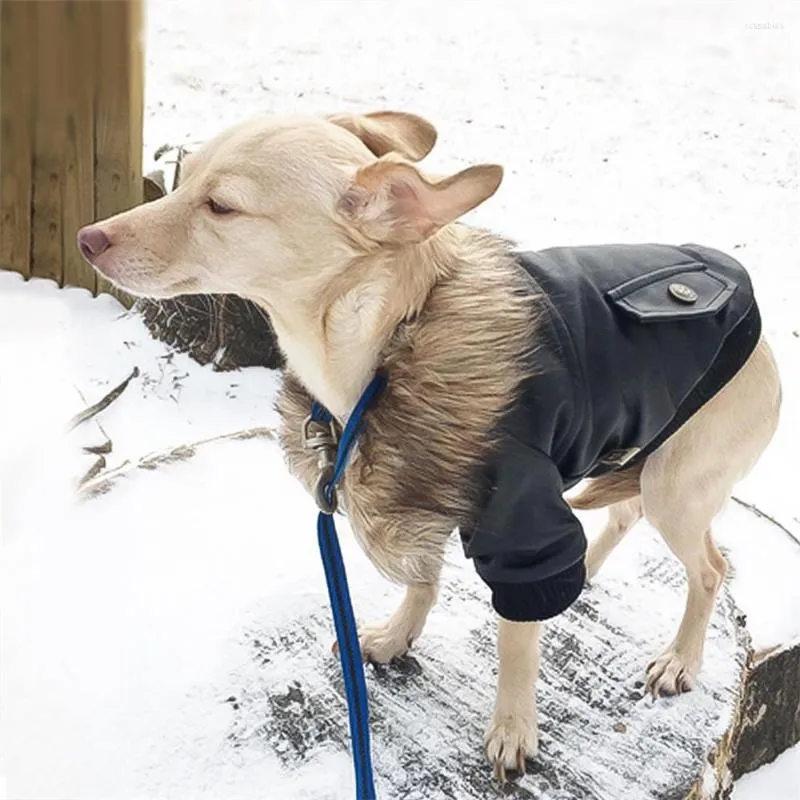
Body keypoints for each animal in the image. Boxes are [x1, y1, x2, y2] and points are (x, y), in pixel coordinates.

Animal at [79, 112, 780, 780]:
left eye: (221, 206)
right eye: (183, 177)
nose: (88, 238)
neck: (389, 337)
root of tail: (764, 342)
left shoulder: (519, 526)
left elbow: (516, 639)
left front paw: (513, 727)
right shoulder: (418, 494)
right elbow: (423, 579)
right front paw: (397, 638)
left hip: (676, 488)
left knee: (710, 569)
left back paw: (680, 658)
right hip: (636, 452)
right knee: (624, 515)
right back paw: (592, 574)